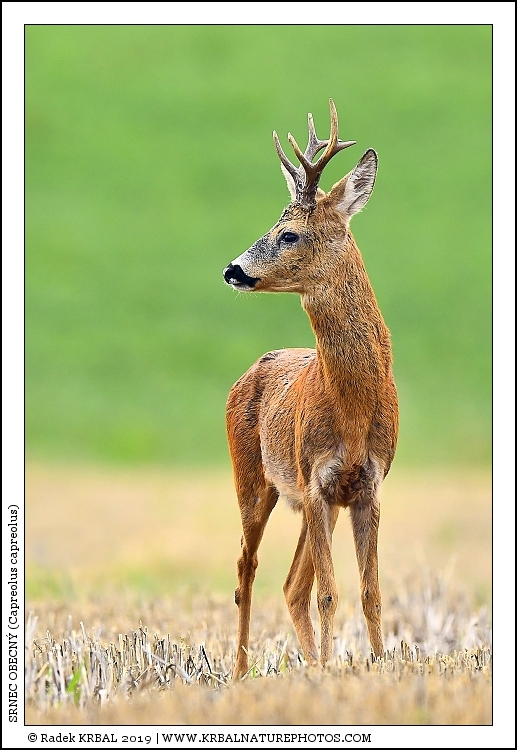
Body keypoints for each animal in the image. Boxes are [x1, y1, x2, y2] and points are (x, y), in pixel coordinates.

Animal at [222, 99, 398, 681]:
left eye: (289, 234)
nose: (232, 270)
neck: (354, 406)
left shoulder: (365, 484)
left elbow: (369, 592)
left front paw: (377, 665)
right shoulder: (317, 478)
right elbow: (329, 593)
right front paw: (328, 670)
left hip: (302, 495)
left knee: (290, 584)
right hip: (255, 480)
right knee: (246, 570)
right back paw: (240, 671)